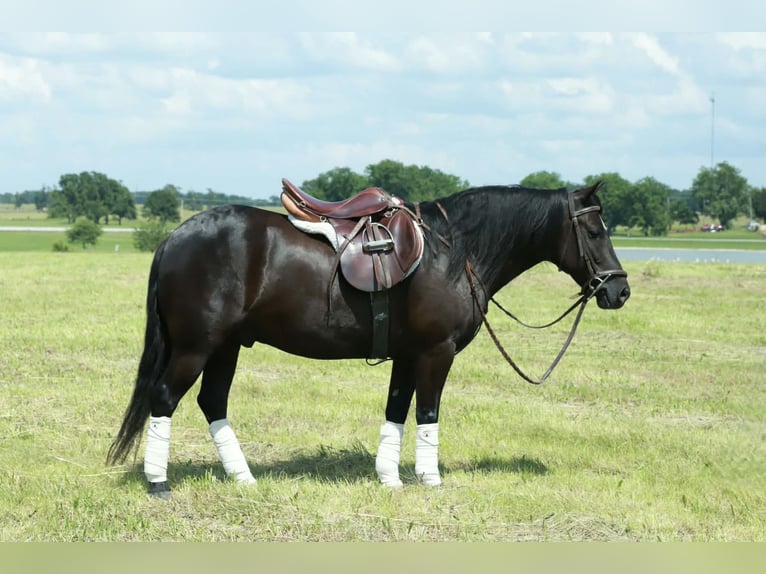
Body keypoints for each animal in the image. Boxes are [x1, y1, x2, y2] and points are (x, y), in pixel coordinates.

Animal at [106, 180, 630, 497]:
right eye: (594, 229)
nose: (619, 290)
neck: (452, 252)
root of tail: (175, 237)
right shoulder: (436, 352)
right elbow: (428, 413)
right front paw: (430, 479)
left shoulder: (407, 355)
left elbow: (396, 411)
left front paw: (389, 478)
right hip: (196, 347)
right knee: (165, 398)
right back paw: (159, 482)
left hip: (227, 347)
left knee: (212, 402)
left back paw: (244, 477)